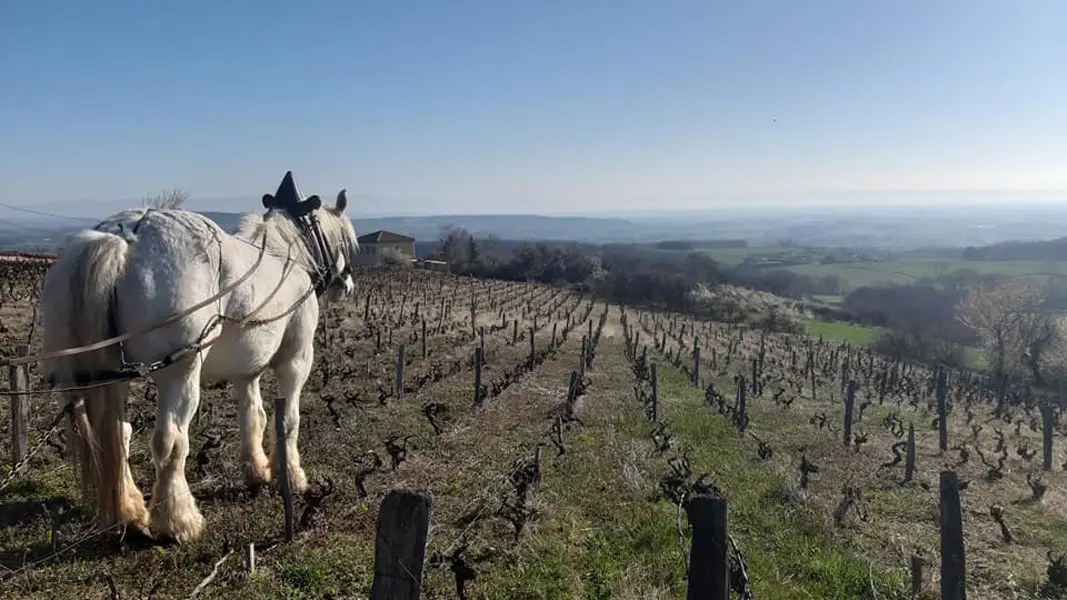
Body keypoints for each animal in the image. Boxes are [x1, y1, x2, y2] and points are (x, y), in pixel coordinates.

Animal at [37, 172, 360, 543]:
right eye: (344, 240)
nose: (347, 284)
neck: (286, 255)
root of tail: (125, 235)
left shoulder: (246, 371)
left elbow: (254, 416)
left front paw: (257, 470)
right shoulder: (296, 361)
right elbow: (288, 421)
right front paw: (291, 476)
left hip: (111, 377)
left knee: (119, 434)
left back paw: (130, 510)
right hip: (181, 374)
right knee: (170, 441)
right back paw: (178, 521)